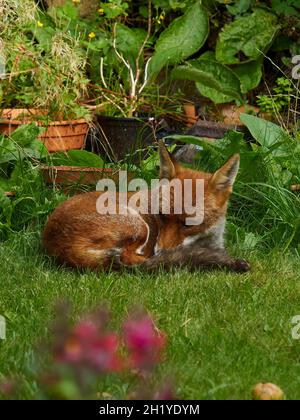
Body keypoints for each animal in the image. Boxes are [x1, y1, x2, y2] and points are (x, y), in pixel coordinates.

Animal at [44, 141, 251, 272]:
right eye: (162, 216)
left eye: (189, 225)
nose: (160, 250)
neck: (205, 241)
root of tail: (59, 246)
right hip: (137, 225)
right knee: (129, 260)